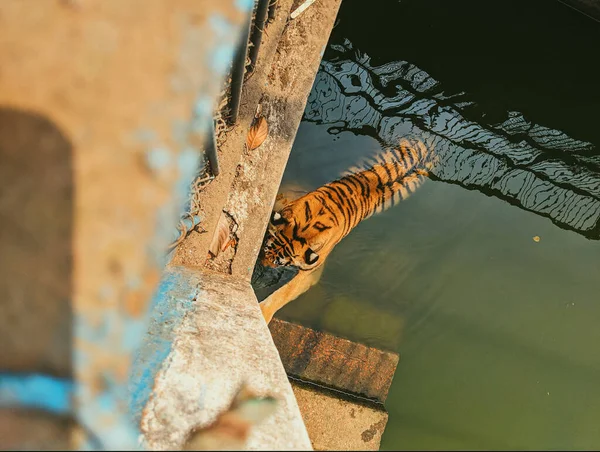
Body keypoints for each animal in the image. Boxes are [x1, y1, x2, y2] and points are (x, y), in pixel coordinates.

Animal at [255, 136, 434, 324]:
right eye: (265, 248)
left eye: (278, 263)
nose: (260, 266)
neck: (306, 227)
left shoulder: (311, 272)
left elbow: (285, 292)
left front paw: (263, 312)